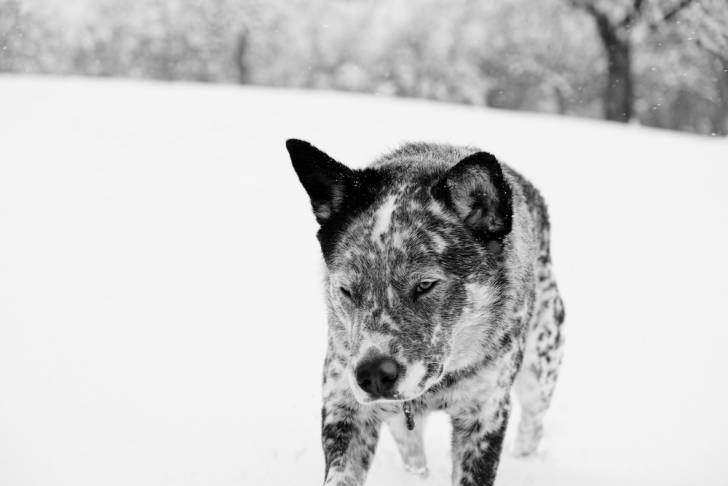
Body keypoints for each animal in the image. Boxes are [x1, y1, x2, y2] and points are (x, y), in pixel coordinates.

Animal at [284, 139, 564, 484]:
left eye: (425, 285)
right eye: (347, 290)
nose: (374, 374)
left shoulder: (484, 413)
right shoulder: (345, 402)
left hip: (541, 366)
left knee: (533, 423)